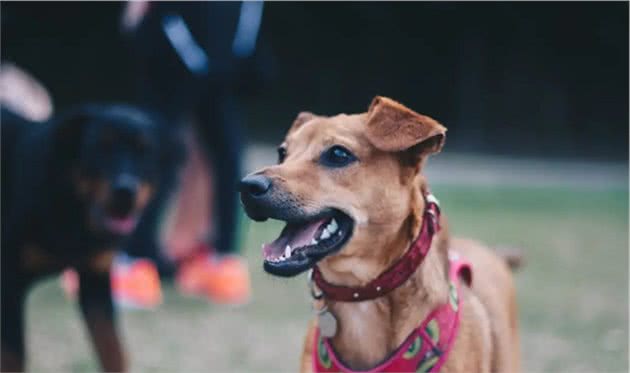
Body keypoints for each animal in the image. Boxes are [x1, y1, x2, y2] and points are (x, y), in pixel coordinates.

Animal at [0, 103, 173, 370]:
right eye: (100, 148)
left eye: (146, 152)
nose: (125, 191)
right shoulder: (8, 284)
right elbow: (12, 357)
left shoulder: (96, 282)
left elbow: (113, 351)